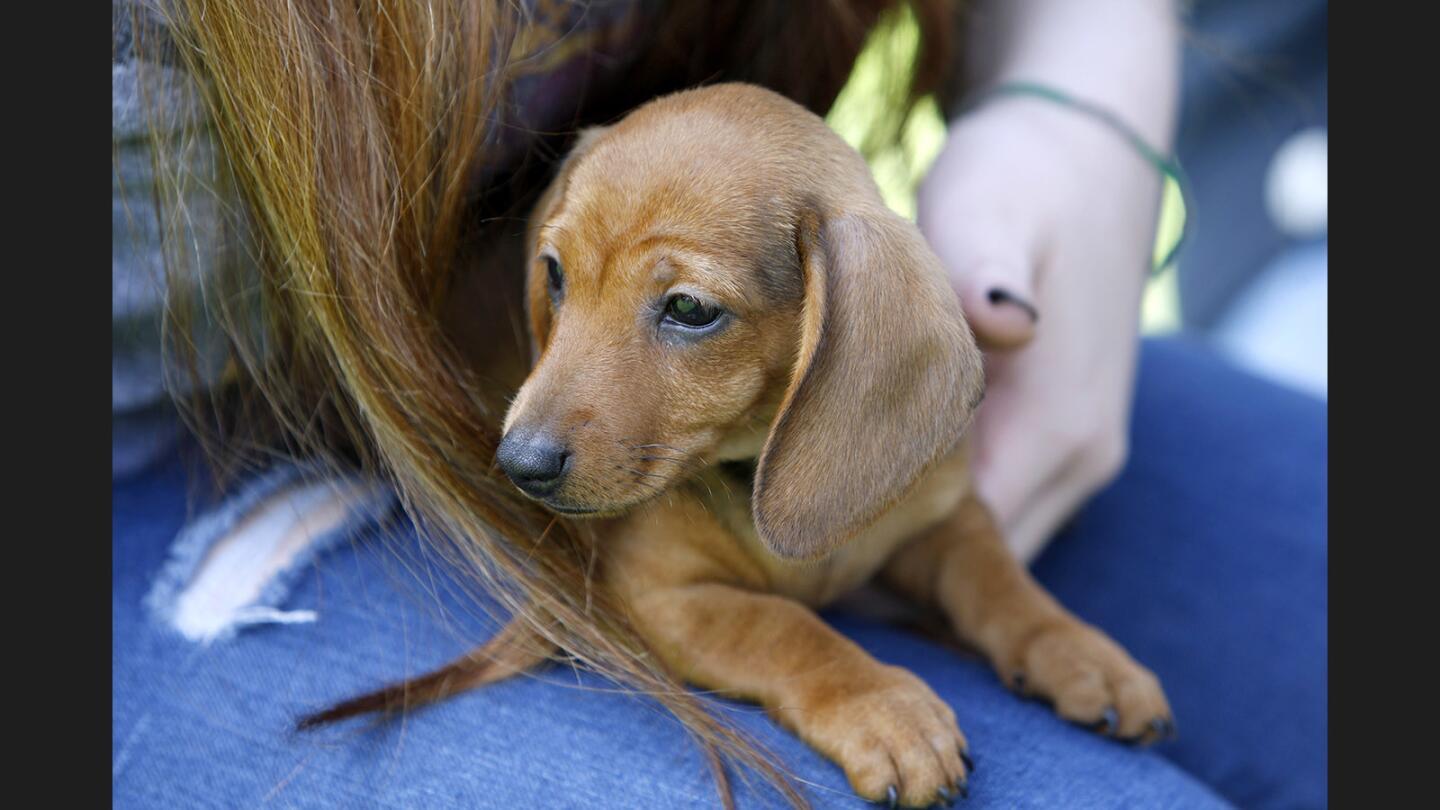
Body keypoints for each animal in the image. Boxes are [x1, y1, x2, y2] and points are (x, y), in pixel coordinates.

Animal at [495, 83, 1169, 807]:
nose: (519, 464)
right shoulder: (661, 597)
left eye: (689, 309)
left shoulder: (942, 517)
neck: (755, 464)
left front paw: (1079, 650)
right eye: (555, 275)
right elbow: (783, 627)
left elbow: (998, 580)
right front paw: (882, 707)